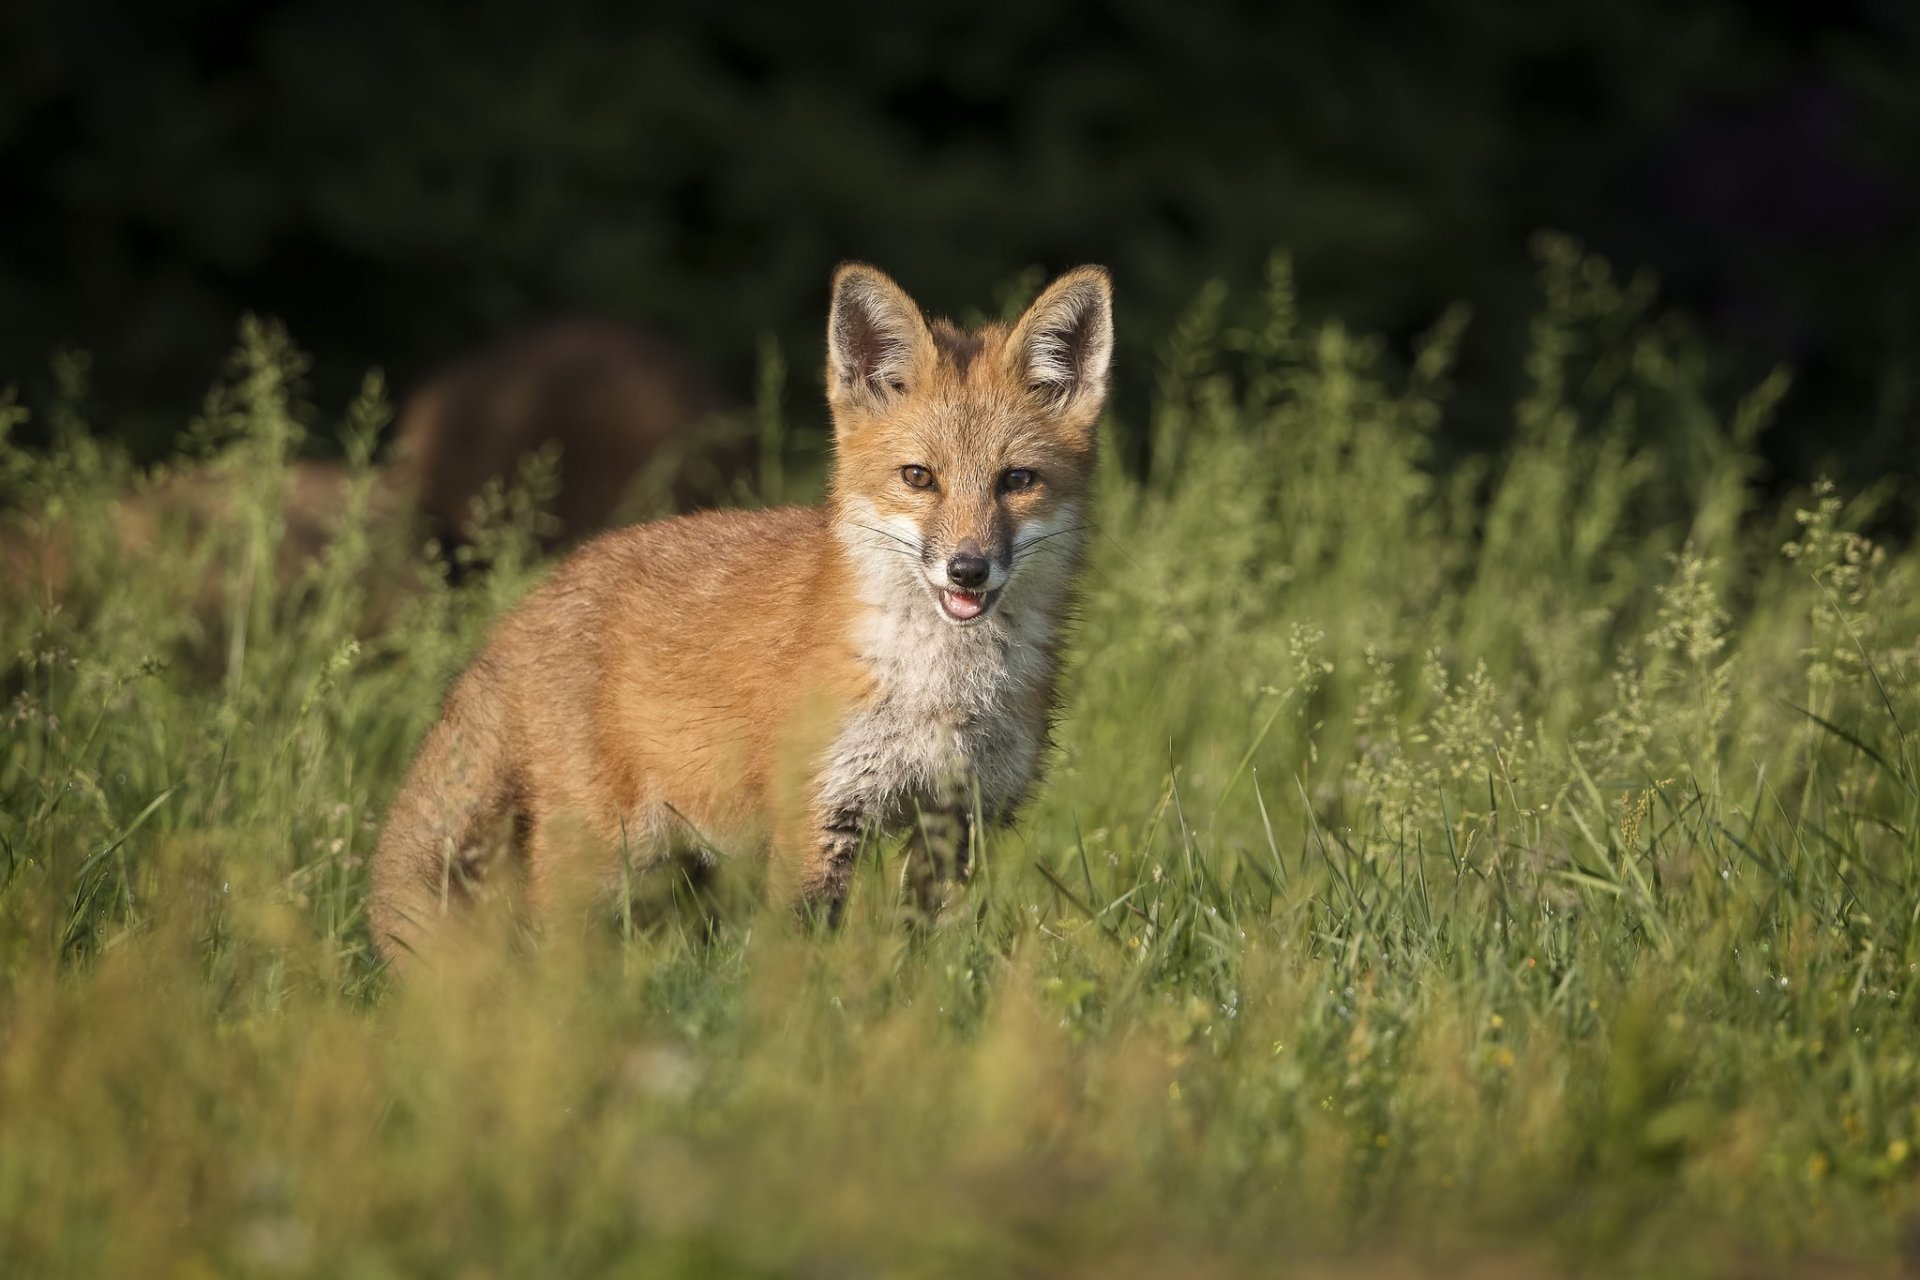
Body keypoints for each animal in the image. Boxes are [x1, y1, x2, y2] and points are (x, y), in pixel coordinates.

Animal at [367, 262, 1112, 964]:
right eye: (918, 478)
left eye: (1016, 481)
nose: (967, 568)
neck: (943, 693)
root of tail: (539, 595)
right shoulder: (818, 814)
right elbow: (798, 963)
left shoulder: (956, 821)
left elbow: (915, 958)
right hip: (606, 853)